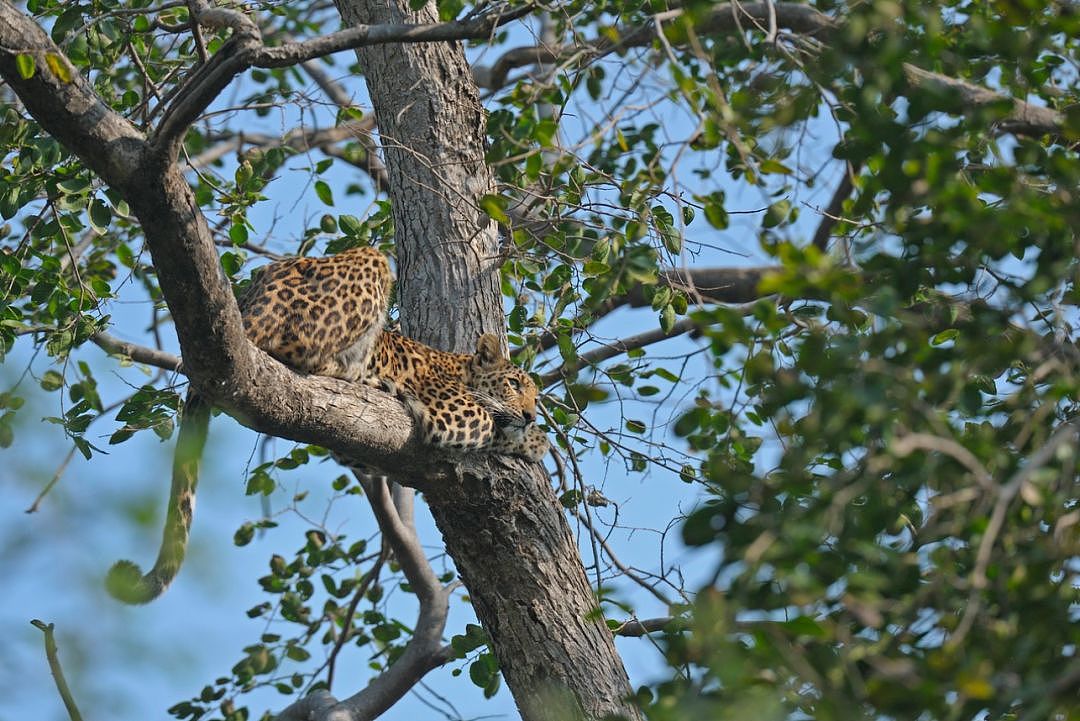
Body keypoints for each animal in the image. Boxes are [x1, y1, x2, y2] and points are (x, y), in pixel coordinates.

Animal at [107, 245, 548, 604]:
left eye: (535, 396)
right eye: (515, 385)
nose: (531, 414)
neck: (460, 367)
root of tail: (251, 304)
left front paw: (533, 434)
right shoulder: (449, 410)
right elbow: (491, 420)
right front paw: (535, 439)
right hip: (366, 265)